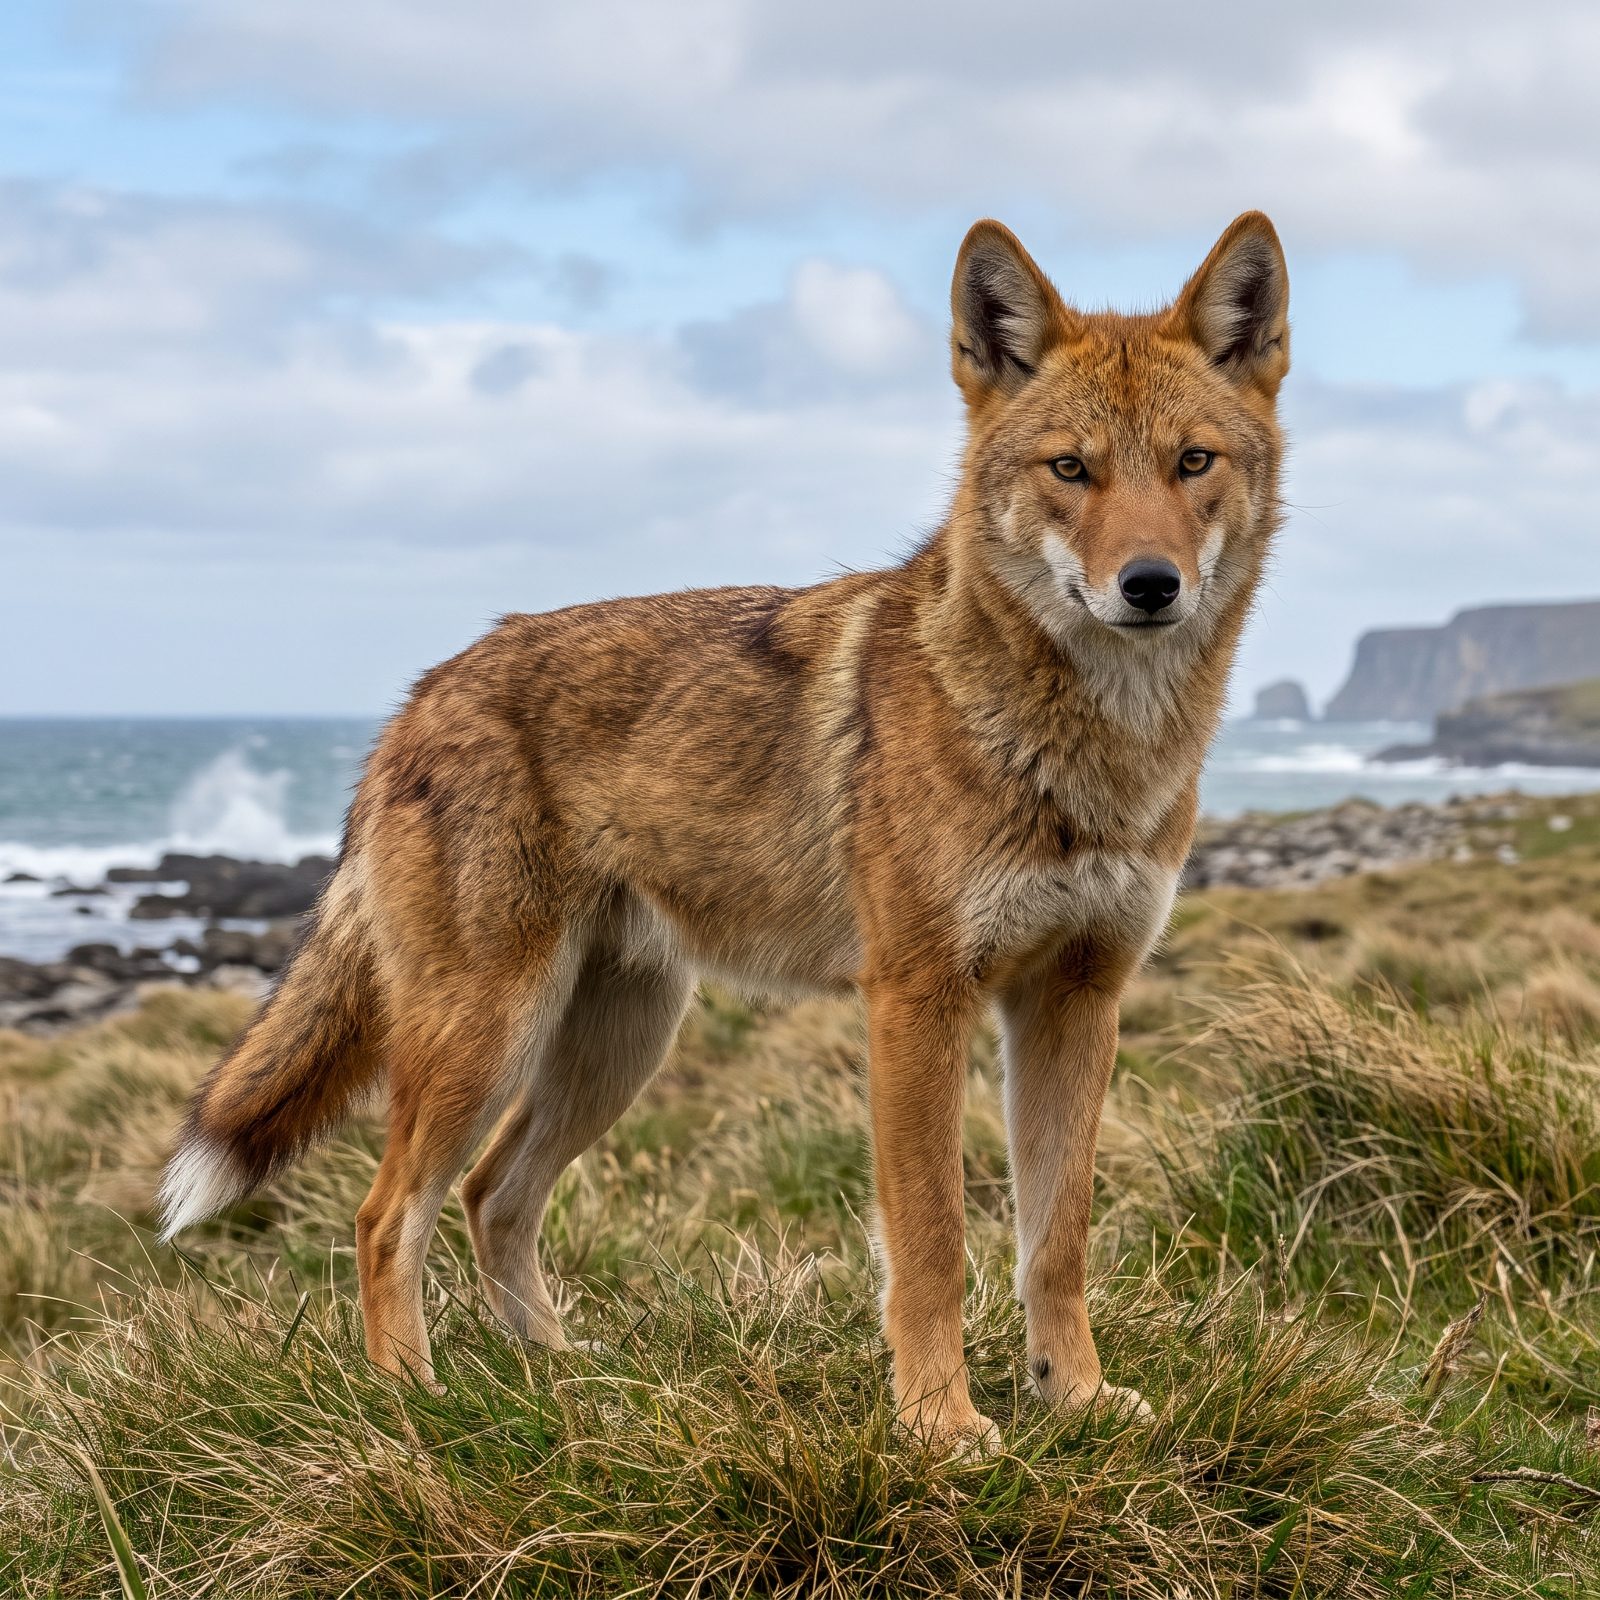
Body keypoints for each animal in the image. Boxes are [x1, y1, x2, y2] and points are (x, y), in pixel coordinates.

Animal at [159, 212, 1288, 1451]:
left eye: (1192, 463)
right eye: (1070, 469)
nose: (1149, 584)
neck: (1083, 752)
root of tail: (423, 693)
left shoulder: (1076, 1001)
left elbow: (1057, 1239)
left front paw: (1073, 1396)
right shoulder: (916, 1002)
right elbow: (933, 1244)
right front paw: (939, 1425)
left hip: (617, 1044)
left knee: (491, 1194)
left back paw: (558, 1374)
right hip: (487, 1037)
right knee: (386, 1212)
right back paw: (418, 1401)